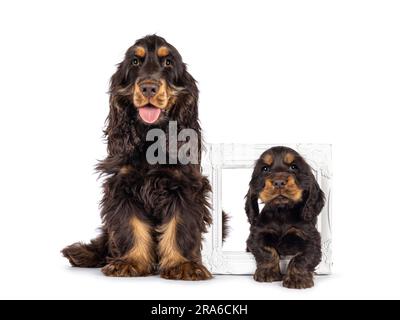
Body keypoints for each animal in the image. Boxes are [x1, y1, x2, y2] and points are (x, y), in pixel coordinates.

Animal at [61, 34, 212, 280]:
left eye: (168, 62)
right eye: (134, 61)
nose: (149, 87)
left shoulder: (186, 185)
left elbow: (180, 224)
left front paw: (183, 265)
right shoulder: (122, 185)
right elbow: (130, 225)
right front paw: (130, 261)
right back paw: (82, 253)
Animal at [244, 146, 324, 288]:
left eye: (294, 167)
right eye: (265, 169)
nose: (279, 182)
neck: (282, 211)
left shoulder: (311, 238)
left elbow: (302, 257)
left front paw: (297, 279)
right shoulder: (257, 234)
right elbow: (266, 251)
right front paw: (267, 273)